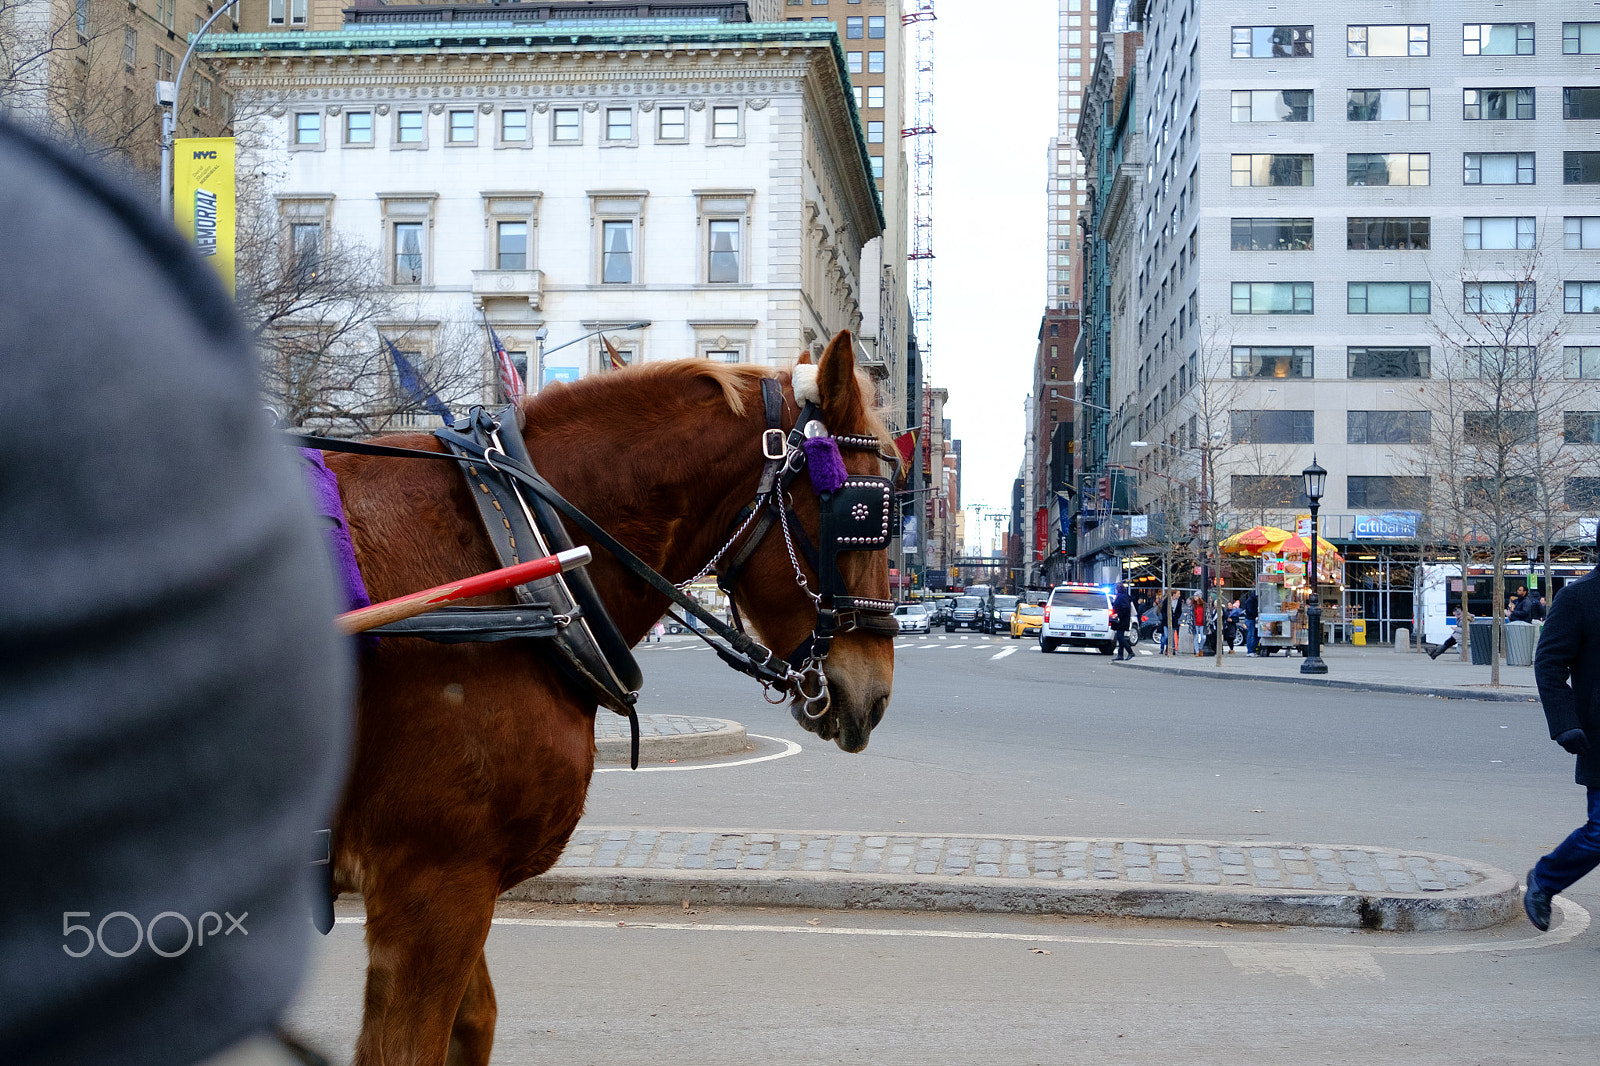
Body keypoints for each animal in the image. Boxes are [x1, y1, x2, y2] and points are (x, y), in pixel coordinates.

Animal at [321, 328, 902, 1056]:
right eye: (864, 514)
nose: (876, 692)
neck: (517, 545)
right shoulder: (431, 882)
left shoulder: (462, 883)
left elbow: (475, 1023)